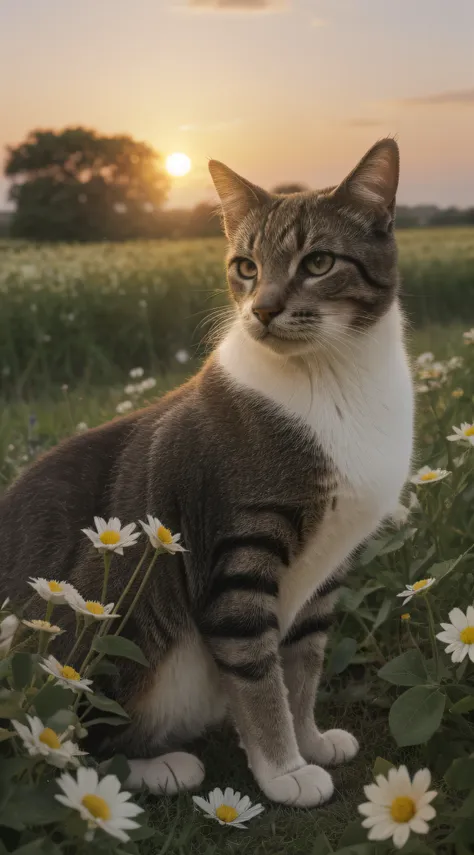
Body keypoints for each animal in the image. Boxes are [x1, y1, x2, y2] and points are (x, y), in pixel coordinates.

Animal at [0, 140, 412, 808]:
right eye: (245, 267)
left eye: (319, 262)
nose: (264, 309)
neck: (331, 377)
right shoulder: (236, 554)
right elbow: (258, 677)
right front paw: (284, 771)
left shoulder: (329, 569)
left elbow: (302, 666)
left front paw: (310, 740)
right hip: (108, 607)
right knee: (55, 737)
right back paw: (164, 768)